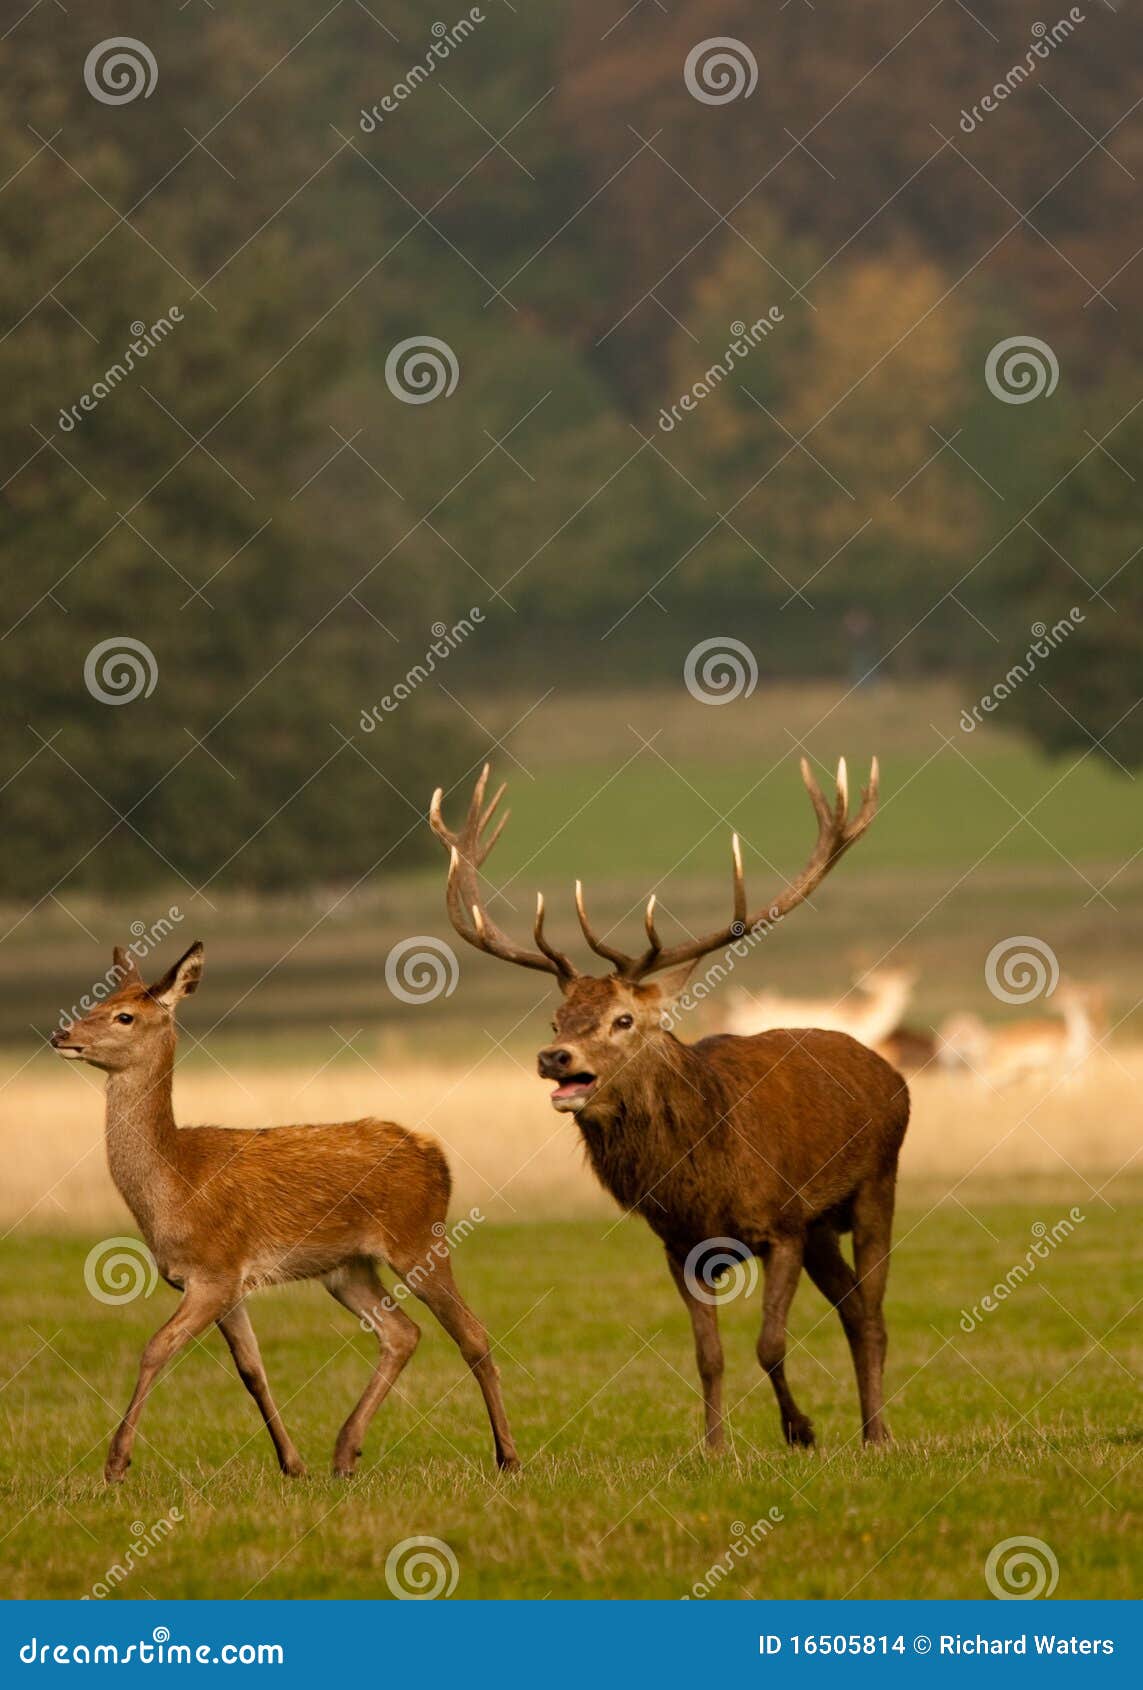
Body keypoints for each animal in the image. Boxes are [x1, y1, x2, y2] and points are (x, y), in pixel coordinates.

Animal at [52, 946, 517, 1487]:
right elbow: (251, 1369)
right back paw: (344, 1453)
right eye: (99, 999)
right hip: (347, 1268)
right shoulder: (226, 1283)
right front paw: (292, 1464)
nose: (62, 1034)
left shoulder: (214, 1270)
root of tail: (437, 1155)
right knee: (403, 1333)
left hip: (419, 1238)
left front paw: (116, 1464)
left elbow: (156, 1347)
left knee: (472, 1333)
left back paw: (507, 1457)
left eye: (124, 1015)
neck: (175, 1183)